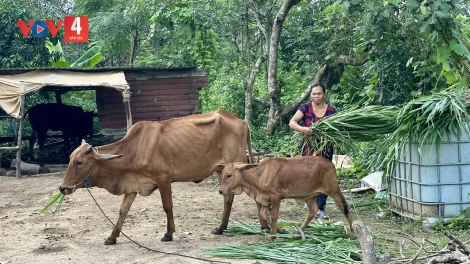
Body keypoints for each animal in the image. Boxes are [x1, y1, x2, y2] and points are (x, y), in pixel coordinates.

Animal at [58, 110, 264, 245]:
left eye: (79, 162)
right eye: (70, 159)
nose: (62, 188)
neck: (133, 150)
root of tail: (241, 120)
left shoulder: (163, 178)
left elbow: (167, 206)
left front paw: (168, 233)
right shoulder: (133, 185)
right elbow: (123, 211)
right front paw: (111, 237)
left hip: (238, 166)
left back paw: (263, 227)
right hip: (222, 170)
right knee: (228, 197)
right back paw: (220, 227)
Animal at [218, 157, 354, 235]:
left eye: (229, 175)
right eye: (222, 174)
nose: (220, 191)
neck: (259, 174)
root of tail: (331, 164)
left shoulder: (275, 197)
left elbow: (274, 216)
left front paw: (274, 234)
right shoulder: (266, 199)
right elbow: (263, 214)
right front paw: (281, 230)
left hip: (334, 190)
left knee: (345, 207)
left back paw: (353, 231)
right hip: (309, 195)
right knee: (312, 211)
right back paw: (299, 231)